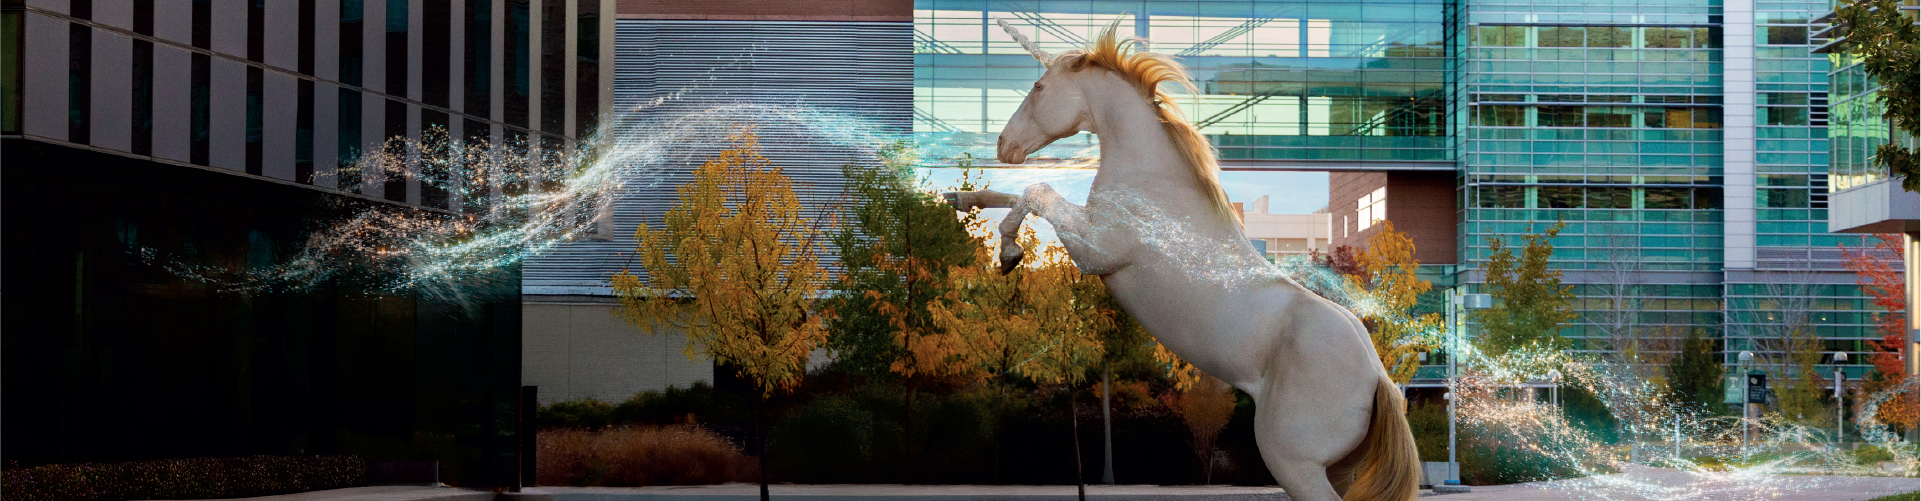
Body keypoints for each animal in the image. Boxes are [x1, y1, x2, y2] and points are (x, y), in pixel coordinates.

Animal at [948, 20, 1429, 499]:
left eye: (1039, 86)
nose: (1005, 145)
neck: (1153, 181)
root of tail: (1379, 378)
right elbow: (1015, 194)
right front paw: (962, 200)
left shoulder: (1096, 249)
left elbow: (1037, 192)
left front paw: (1009, 252)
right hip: (1341, 469)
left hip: (1295, 465)